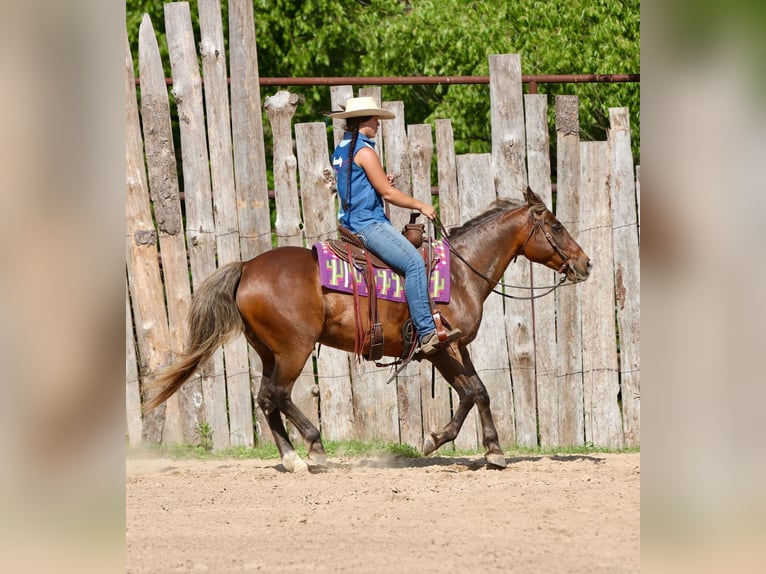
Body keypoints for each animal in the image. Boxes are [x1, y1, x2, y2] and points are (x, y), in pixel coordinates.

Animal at [145, 187, 591, 472]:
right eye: (555, 225)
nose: (585, 263)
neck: (462, 271)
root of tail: (247, 268)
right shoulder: (439, 346)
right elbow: (469, 392)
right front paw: (436, 440)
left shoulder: (452, 347)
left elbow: (477, 390)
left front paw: (491, 450)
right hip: (294, 349)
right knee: (278, 394)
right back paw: (314, 447)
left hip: (269, 351)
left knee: (266, 399)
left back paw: (291, 459)